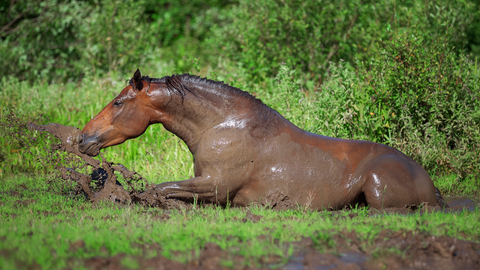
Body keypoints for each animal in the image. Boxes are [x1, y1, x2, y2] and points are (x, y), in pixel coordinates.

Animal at [77, 68, 448, 210]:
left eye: (118, 102)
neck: (220, 126)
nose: (82, 138)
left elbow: (158, 189)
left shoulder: (215, 186)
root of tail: (429, 183)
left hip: (377, 188)